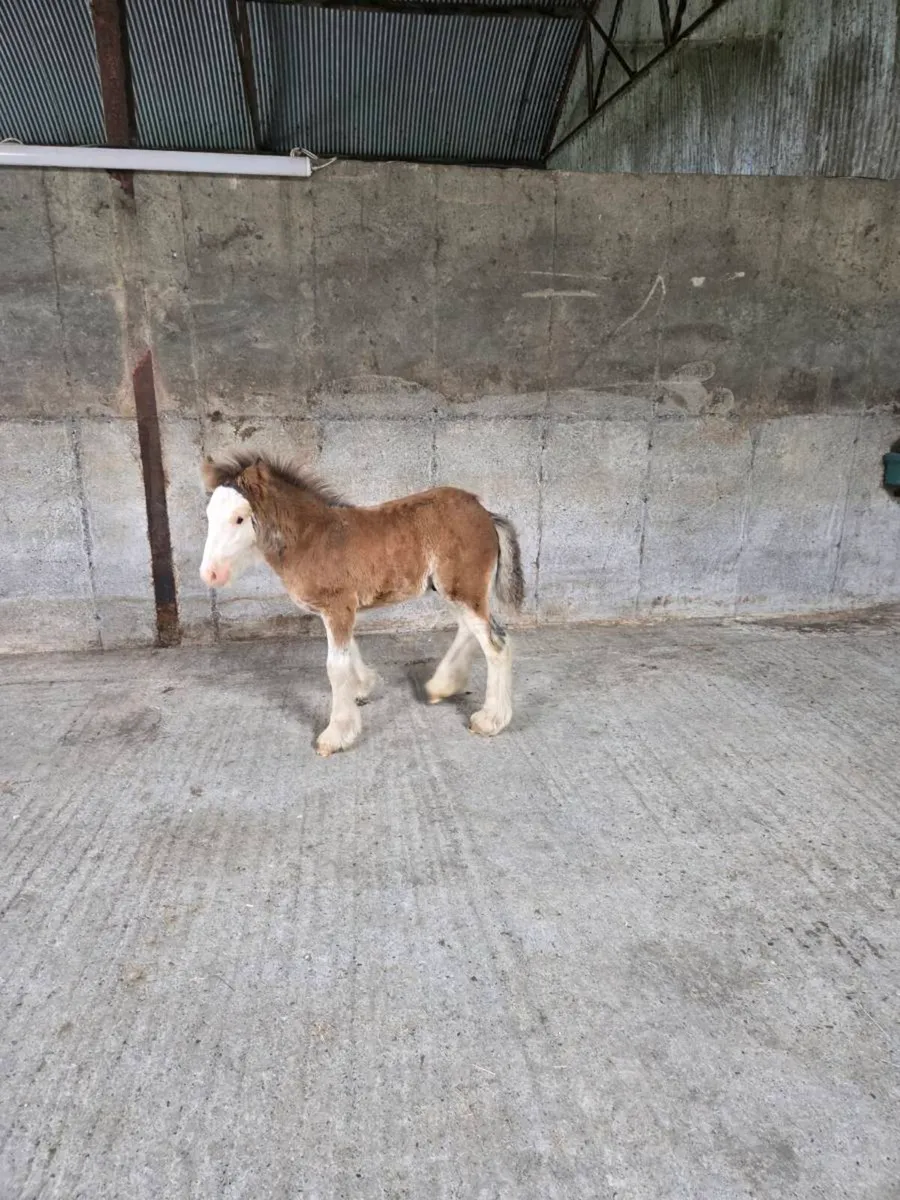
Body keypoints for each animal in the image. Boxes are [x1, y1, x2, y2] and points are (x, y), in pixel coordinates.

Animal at [199, 450, 525, 756]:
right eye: (209, 516)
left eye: (239, 518)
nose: (209, 574)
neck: (311, 540)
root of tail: (485, 512)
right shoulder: (338, 610)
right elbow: (349, 652)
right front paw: (364, 687)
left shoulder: (338, 607)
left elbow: (335, 666)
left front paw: (336, 735)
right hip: (454, 590)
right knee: (472, 630)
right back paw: (441, 687)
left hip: (464, 589)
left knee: (496, 645)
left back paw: (490, 720)